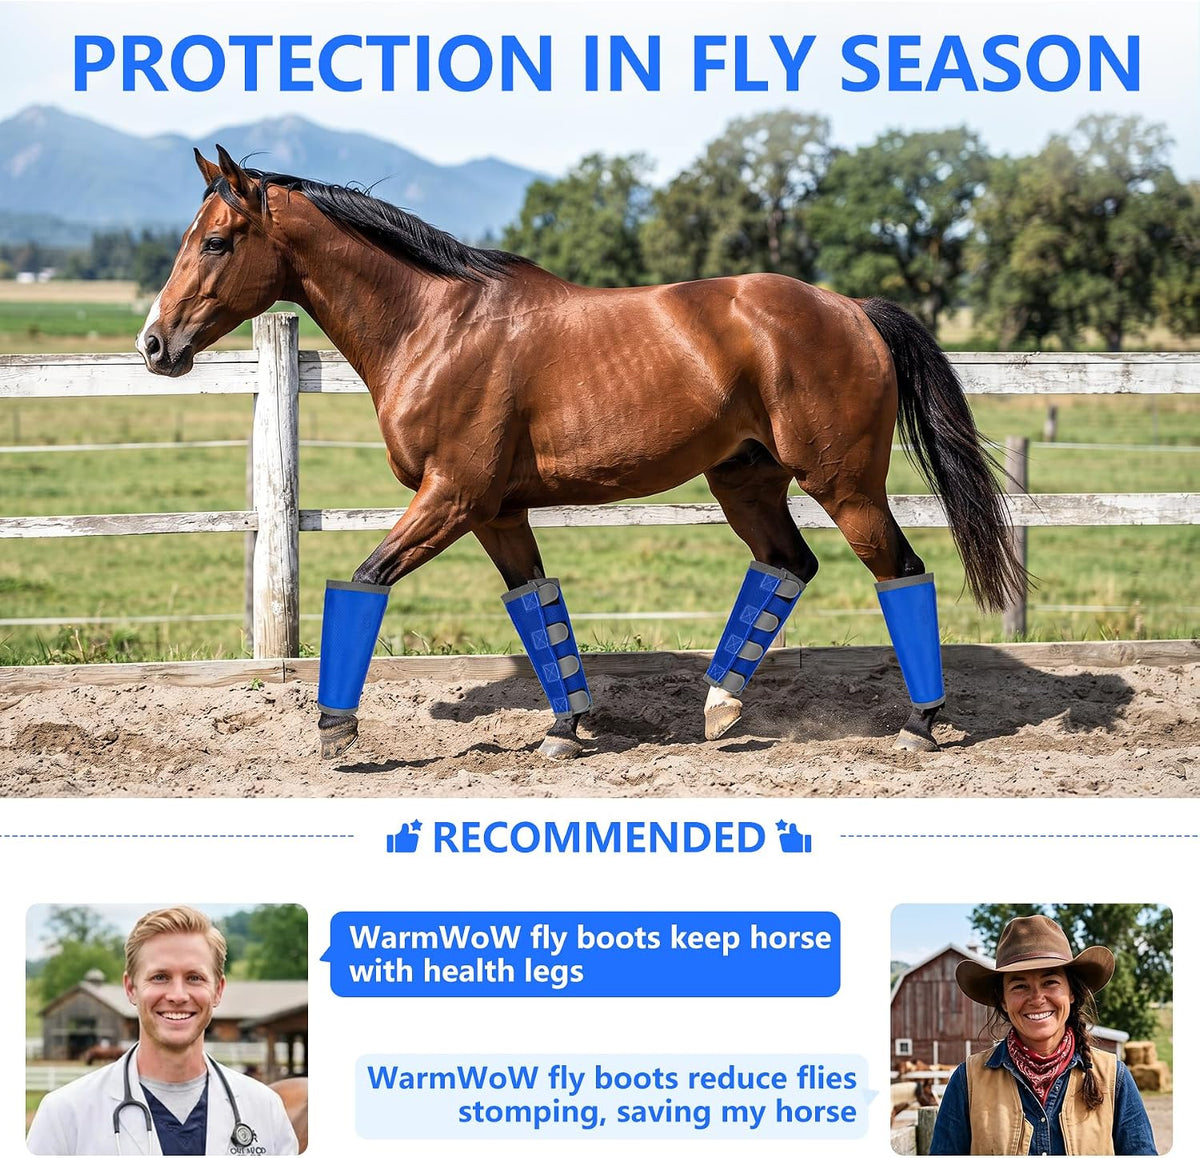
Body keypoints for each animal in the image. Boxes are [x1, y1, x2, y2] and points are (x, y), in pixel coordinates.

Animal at [138, 146, 1023, 762]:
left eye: (216, 242)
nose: (154, 345)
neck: (433, 324)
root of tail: (853, 309)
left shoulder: (450, 496)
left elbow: (363, 582)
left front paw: (335, 729)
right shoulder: (495, 511)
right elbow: (537, 607)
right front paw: (567, 728)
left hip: (845, 486)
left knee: (901, 573)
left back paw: (920, 724)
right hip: (746, 481)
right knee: (789, 565)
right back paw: (719, 707)